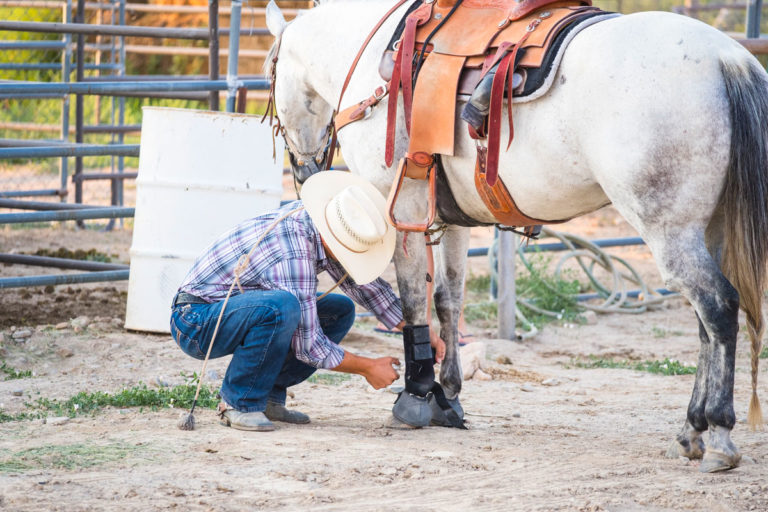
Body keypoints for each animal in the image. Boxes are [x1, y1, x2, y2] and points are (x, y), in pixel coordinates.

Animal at [264, 0, 768, 472]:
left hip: (670, 232)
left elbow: (411, 301)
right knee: (705, 325)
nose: (304, 172)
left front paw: (417, 394)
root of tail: (725, 56)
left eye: (270, 74)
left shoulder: (399, 207)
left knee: (718, 309)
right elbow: (449, 301)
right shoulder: (449, 218)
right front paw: (449, 397)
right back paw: (689, 431)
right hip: (708, 230)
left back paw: (718, 434)